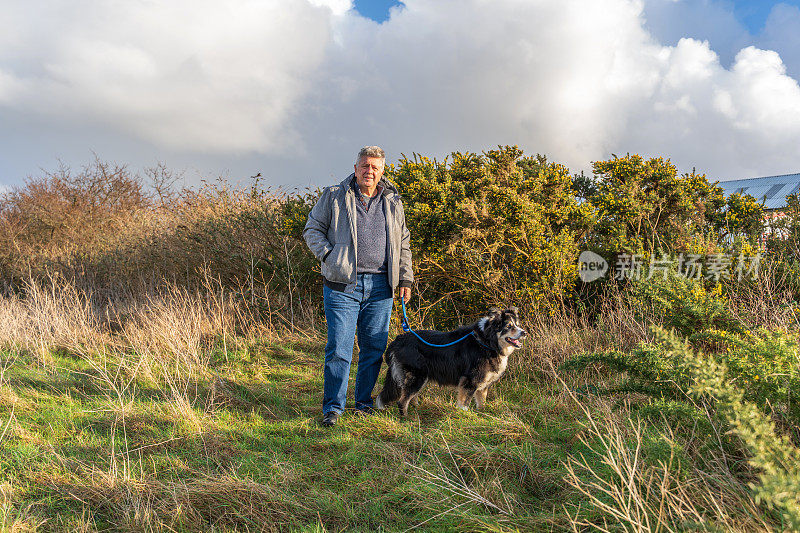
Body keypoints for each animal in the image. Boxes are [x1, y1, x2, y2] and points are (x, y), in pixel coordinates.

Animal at [376, 308, 524, 416]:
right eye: (509, 326)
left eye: (517, 325)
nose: (524, 332)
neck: (486, 341)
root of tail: (398, 340)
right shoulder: (470, 380)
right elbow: (464, 403)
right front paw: (465, 416)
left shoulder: (483, 382)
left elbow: (481, 401)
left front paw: (482, 414)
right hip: (416, 376)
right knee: (402, 401)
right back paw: (406, 418)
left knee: (411, 397)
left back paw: (416, 409)